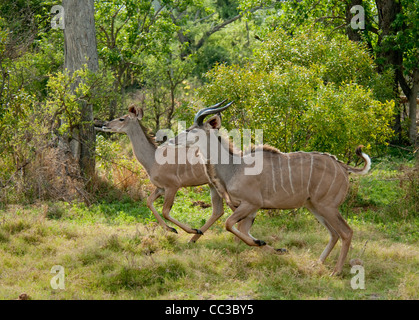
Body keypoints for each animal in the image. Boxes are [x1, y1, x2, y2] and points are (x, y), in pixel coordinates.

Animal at [97, 105, 226, 242]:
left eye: (122, 119)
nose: (105, 125)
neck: (153, 159)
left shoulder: (172, 186)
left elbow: (165, 211)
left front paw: (184, 229)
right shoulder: (160, 188)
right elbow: (149, 202)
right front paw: (170, 228)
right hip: (212, 185)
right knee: (218, 211)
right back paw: (193, 239)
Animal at [169, 102, 372, 276]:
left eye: (190, 129)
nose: (171, 140)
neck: (235, 166)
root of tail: (343, 167)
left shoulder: (251, 204)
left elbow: (229, 225)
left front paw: (265, 244)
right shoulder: (250, 209)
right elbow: (242, 231)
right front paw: (276, 248)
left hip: (327, 206)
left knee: (346, 232)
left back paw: (335, 271)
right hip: (314, 207)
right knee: (334, 233)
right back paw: (317, 263)